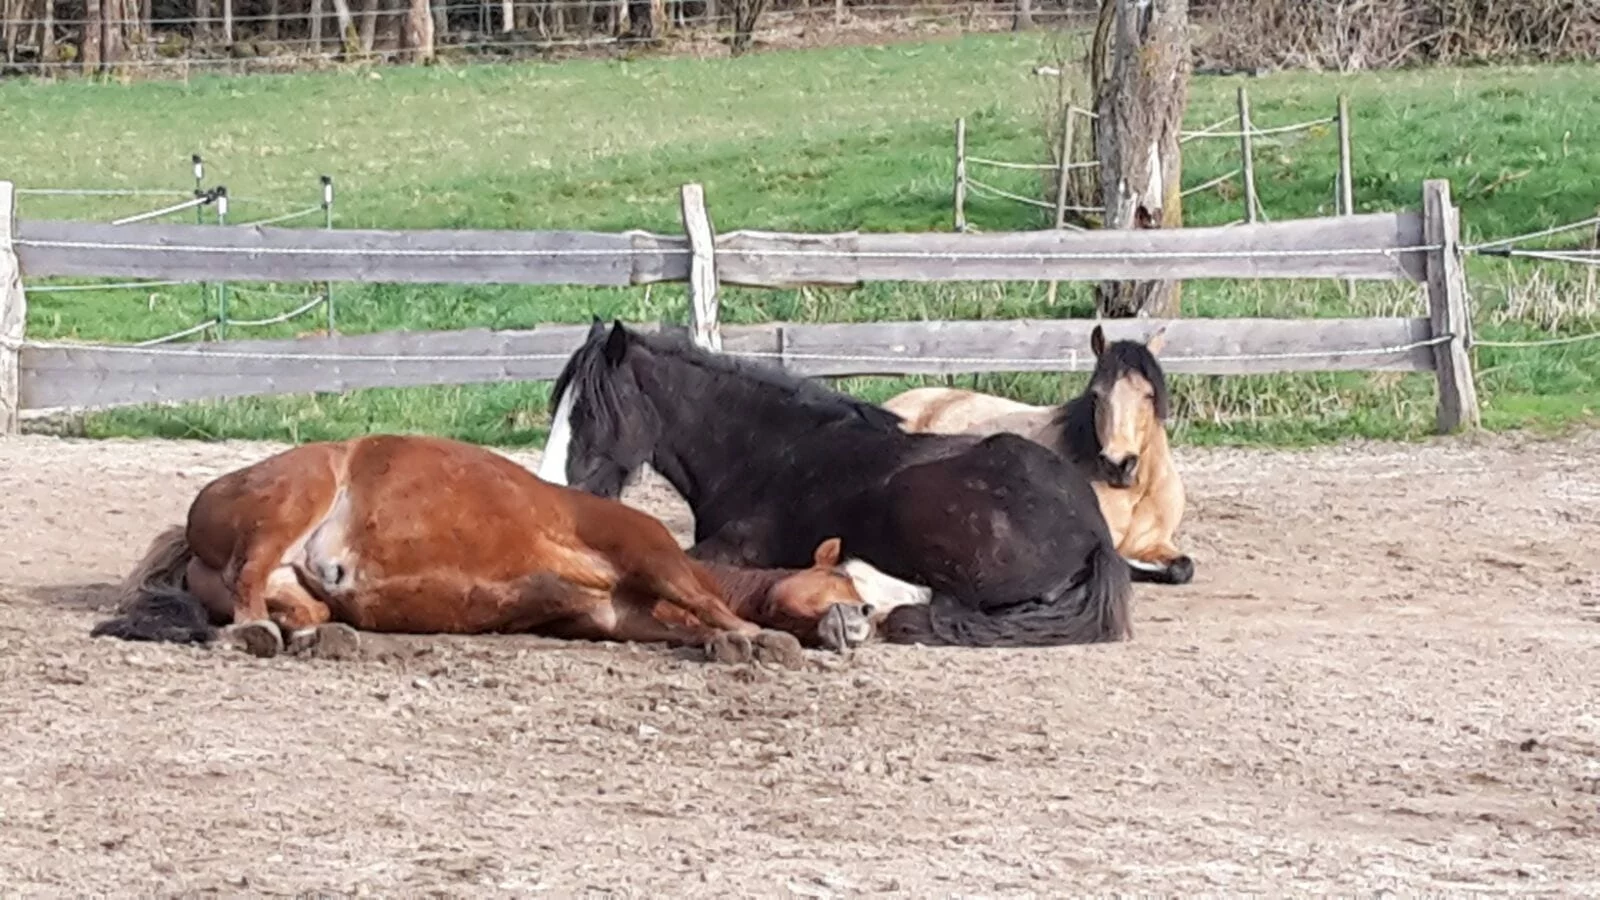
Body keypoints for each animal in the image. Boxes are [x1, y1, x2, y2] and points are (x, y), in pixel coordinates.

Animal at [87, 434, 873, 663]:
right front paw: (757, 635)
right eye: (850, 587)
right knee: (250, 581)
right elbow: (708, 598)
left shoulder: (623, 619)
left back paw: (320, 637)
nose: (866, 621)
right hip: (295, 495)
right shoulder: (650, 553)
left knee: (297, 609)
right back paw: (255, 631)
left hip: (299, 585)